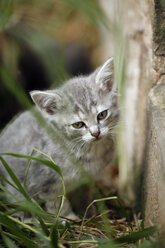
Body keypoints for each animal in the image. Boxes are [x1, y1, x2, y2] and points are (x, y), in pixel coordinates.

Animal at [0, 56, 118, 213]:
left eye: (102, 115)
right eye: (78, 124)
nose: (96, 133)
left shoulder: (85, 180)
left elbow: (85, 194)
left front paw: (90, 211)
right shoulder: (45, 183)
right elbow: (57, 204)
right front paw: (67, 216)